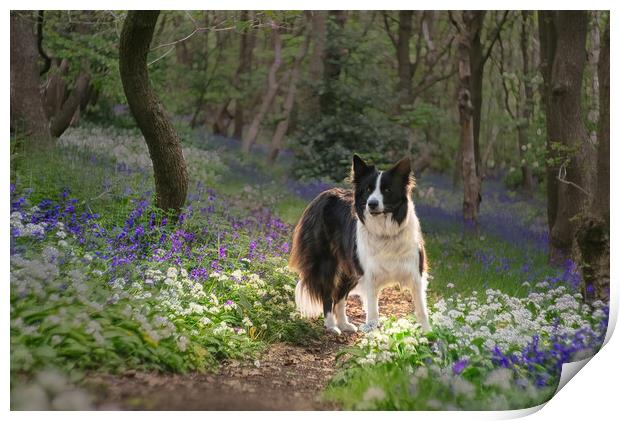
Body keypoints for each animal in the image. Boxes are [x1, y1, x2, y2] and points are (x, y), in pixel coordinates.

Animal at [288, 155, 428, 334]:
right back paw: (331, 326)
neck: (386, 232)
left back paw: (344, 324)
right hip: (327, 262)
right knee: (328, 294)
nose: (372, 204)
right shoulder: (370, 276)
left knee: (339, 296)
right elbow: (373, 312)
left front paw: (429, 334)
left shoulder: (415, 274)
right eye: (368, 190)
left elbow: (422, 310)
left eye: (387, 190)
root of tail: (321, 196)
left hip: (350, 267)